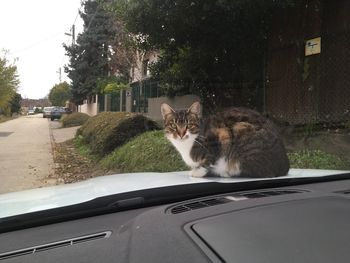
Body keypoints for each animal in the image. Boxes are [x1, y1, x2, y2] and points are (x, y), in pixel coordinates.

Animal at [161, 102, 290, 178]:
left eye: (189, 125)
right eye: (173, 125)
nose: (181, 134)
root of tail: (285, 166)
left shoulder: (221, 135)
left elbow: (208, 161)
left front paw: (197, 172)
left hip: (241, 129)